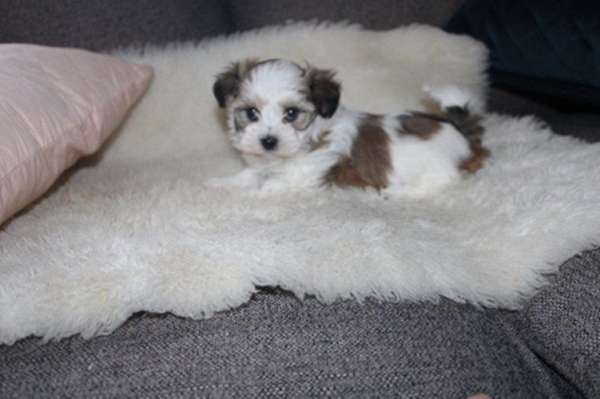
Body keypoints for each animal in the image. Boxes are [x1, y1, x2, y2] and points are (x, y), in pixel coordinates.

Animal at [209, 58, 490, 198]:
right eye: (251, 113)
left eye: (291, 114)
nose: (268, 141)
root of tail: (460, 132)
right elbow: (249, 175)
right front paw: (223, 183)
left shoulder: (310, 170)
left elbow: (275, 183)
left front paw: (256, 191)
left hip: (436, 165)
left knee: (443, 179)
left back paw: (400, 191)